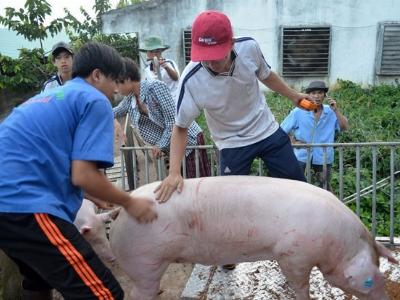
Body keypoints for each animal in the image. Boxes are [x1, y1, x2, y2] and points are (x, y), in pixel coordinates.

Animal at [108, 176, 396, 300]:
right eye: (369, 281)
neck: (339, 244)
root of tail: (121, 209)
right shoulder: (292, 253)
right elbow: (300, 283)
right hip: (143, 262)